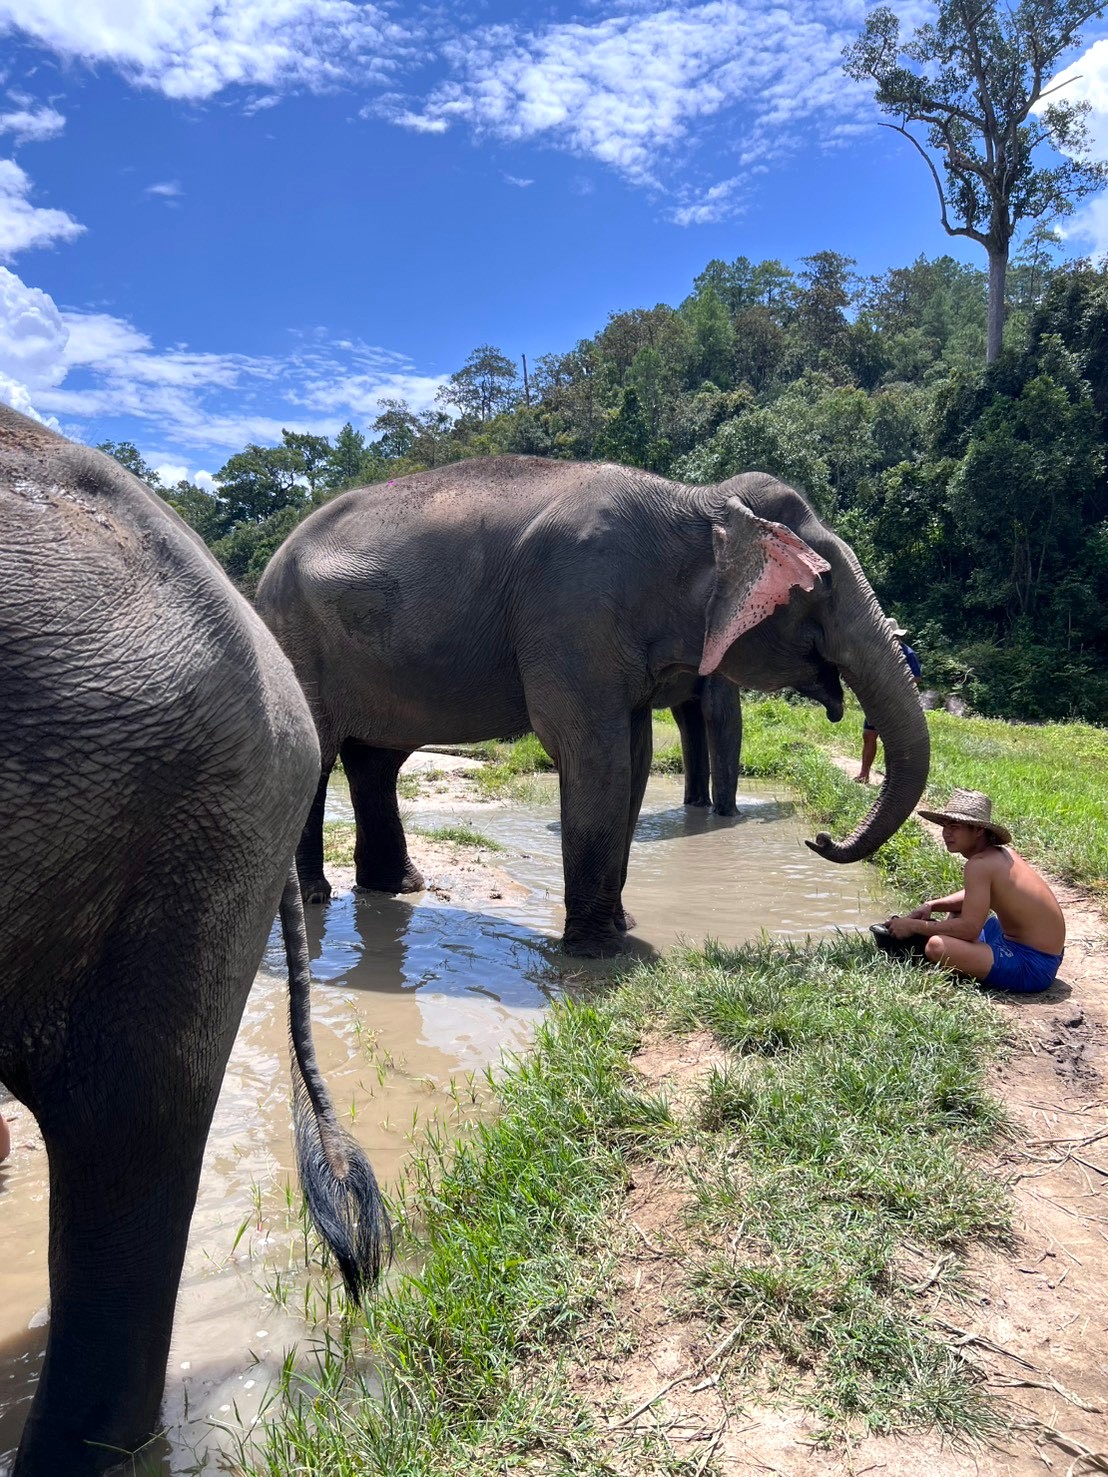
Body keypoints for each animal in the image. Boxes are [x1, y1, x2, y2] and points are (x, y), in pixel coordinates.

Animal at [256, 457, 929, 958]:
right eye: (823, 583)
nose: (820, 838)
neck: (695, 504)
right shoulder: (574, 608)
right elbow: (592, 752)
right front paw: (599, 952)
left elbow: (635, 758)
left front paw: (622, 929)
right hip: (293, 639)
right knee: (318, 755)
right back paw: (314, 899)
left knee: (376, 761)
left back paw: (396, 887)